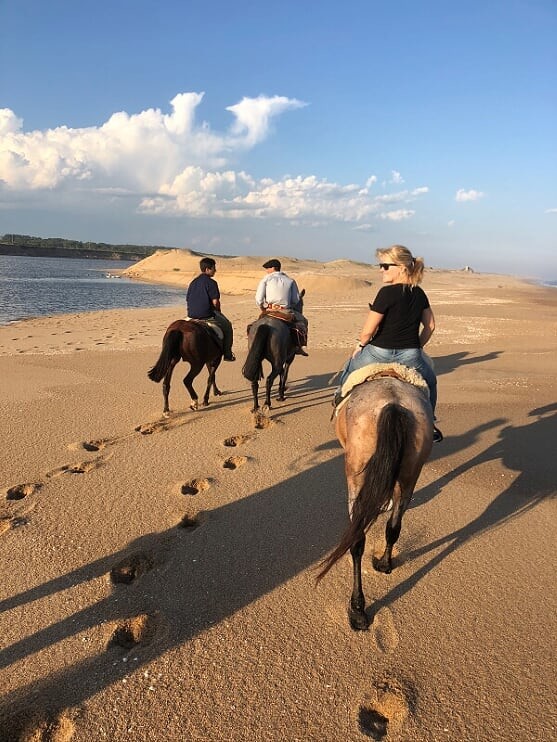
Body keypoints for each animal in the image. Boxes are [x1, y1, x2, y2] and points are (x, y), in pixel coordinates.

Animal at [318, 374, 430, 632]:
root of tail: (394, 404)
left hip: (356, 476)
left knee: (357, 540)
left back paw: (358, 609)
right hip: (411, 473)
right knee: (394, 527)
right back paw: (385, 564)